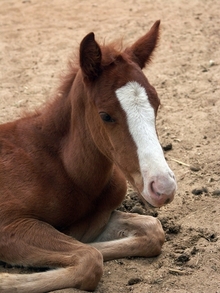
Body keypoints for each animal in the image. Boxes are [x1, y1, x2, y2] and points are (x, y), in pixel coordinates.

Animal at [0, 20, 176, 290]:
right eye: (105, 115)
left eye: (157, 105)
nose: (163, 188)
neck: (63, 169)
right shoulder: (11, 225)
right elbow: (89, 258)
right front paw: (5, 278)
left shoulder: (98, 218)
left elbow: (152, 231)